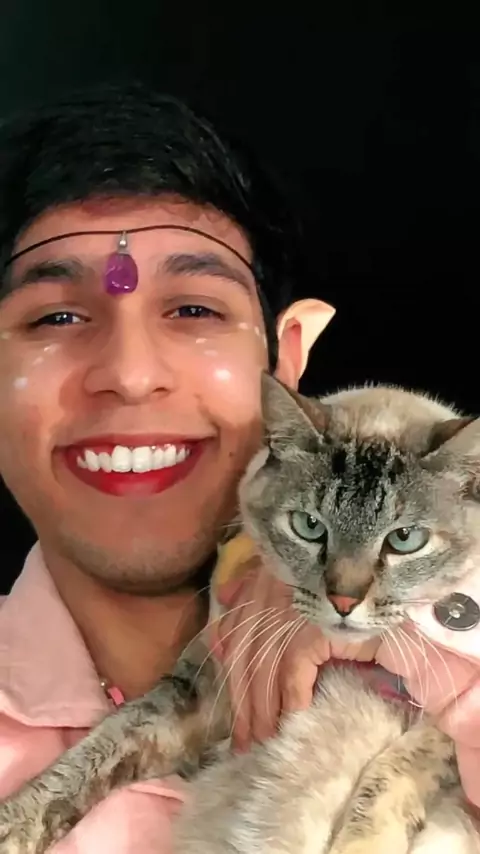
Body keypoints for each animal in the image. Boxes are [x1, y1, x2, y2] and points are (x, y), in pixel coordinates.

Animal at [0, 373, 479, 853]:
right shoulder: (198, 692)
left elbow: (393, 772)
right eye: (309, 526)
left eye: (404, 539)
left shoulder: (438, 732)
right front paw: (12, 827)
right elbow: (91, 753)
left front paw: (358, 843)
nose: (344, 601)